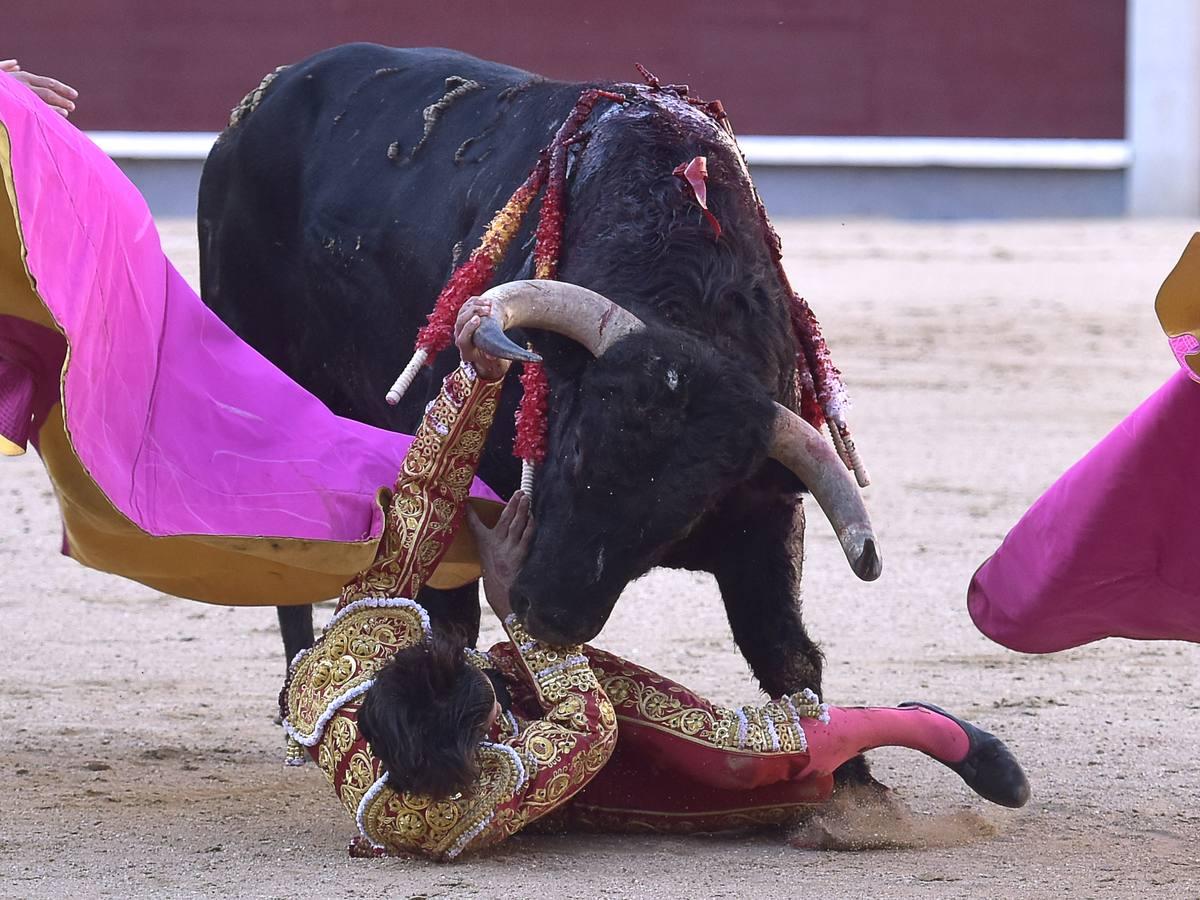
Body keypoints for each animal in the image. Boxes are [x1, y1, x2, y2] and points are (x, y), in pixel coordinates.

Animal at [194, 42, 873, 705]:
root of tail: (263, 98)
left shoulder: (765, 517)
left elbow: (787, 657)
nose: (550, 616)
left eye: (686, 512)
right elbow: (448, 615)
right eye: (571, 452)